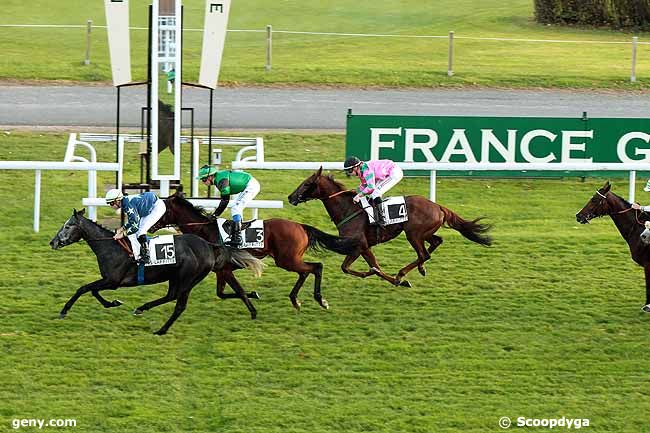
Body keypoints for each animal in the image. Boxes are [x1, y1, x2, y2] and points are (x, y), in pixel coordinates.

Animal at [50, 208, 262, 332]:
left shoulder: (114, 281)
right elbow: (92, 290)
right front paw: (113, 303)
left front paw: (64, 311)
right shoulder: (110, 281)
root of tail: (209, 245)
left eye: (68, 226)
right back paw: (142, 308)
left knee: (179, 305)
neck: (110, 247)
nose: (53, 242)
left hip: (188, 278)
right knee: (171, 296)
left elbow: (84, 288)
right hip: (176, 277)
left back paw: (161, 329)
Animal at [152, 192, 362, 310]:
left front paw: (252, 298)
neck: (205, 231)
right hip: (290, 259)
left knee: (316, 267)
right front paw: (254, 294)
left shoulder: (225, 269)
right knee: (306, 272)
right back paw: (295, 300)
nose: (151, 226)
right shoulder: (221, 271)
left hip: (286, 260)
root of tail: (300, 226)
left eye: (161, 211)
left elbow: (233, 291)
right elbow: (221, 293)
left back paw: (320, 300)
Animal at [286, 169, 488, 286]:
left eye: (306, 184)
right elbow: (362, 266)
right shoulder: (362, 246)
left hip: (413, 234)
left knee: (424, 253)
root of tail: (438, 206)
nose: (290, 197)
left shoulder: (360, 245)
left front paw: (395, 280)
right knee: (436, 242)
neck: (348, 209)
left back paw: (403, 273)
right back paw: (420, 268)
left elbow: (358, 267)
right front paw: (376, 274)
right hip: (424, 232)